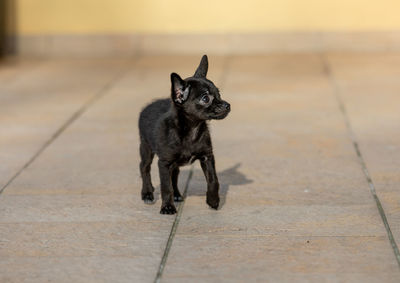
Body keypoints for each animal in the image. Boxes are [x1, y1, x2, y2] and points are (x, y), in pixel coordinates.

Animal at [138, 55, 230, 215]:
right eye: (205, 98)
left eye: (219, 94)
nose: (227, 105)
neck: (191, 130)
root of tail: (148, 105)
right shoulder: (164, 163)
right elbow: (165, 186)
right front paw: (167, 207)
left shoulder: (207, 157)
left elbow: (213, 180)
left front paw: (213, 200)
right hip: (146, 148)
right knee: (144, 167)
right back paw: (147, 193)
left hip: (173, 162)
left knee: (174, 174)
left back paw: (176, 194)